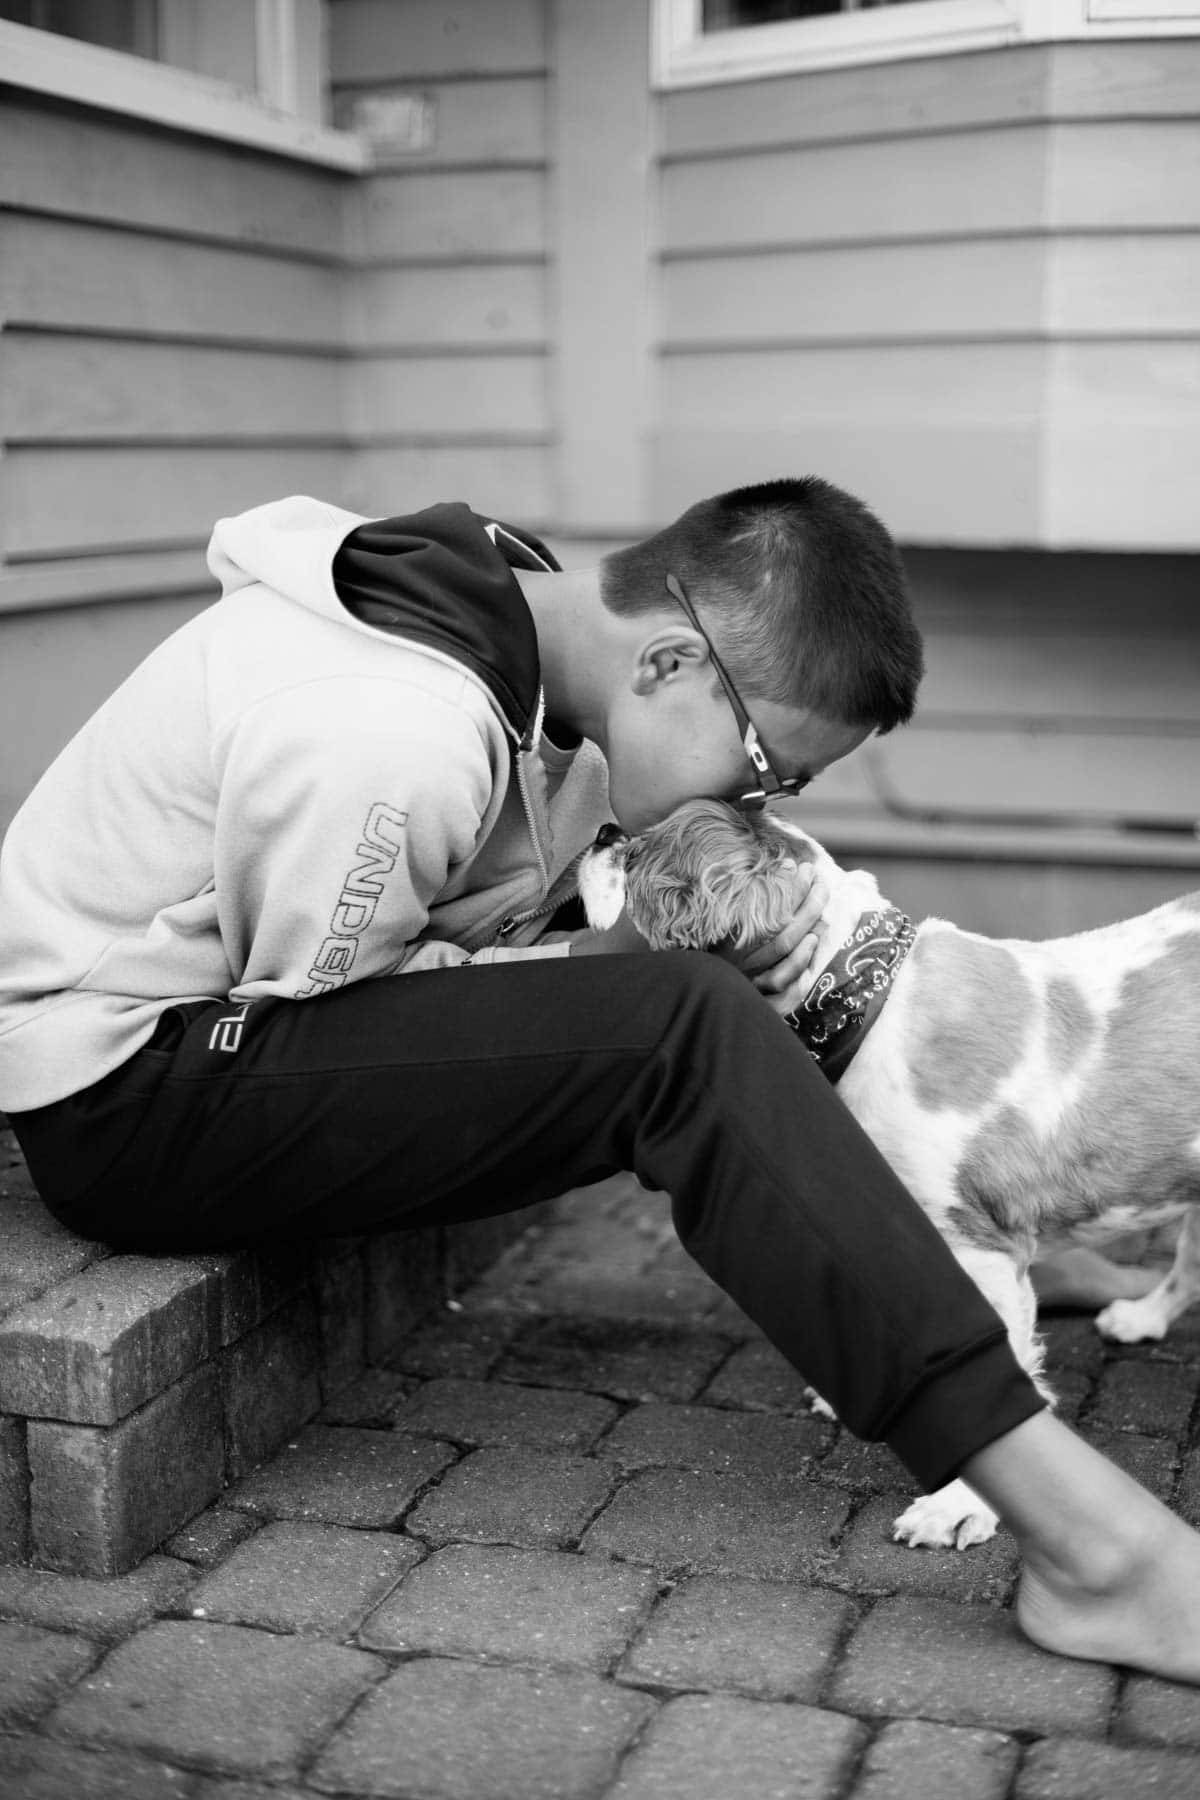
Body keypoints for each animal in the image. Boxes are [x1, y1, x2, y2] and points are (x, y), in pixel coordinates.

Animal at [582, 799, 1200, 1548]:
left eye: (639, 856)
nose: (604, 833)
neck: (865, 996)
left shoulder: (981, 1247)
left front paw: (960, 1503)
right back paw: (1143, 1316)